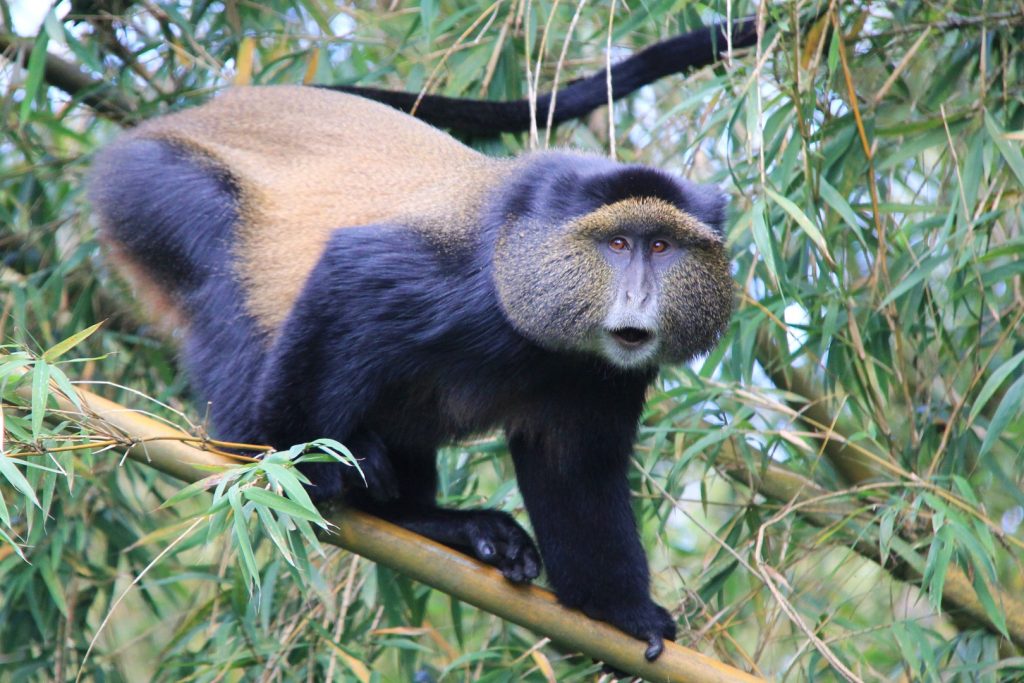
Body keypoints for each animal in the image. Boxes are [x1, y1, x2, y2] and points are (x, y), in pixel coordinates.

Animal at [88, 85, 733, 661]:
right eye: (619, 243)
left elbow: (574, 471)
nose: (638, 297)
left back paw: (433, 523)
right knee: (223, 284)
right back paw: (263, 453)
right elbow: (350, 276)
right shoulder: (460, 281)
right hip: (153, 188)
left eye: (663, 246)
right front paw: (299, 464)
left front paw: (619, 612)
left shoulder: (607, 377)